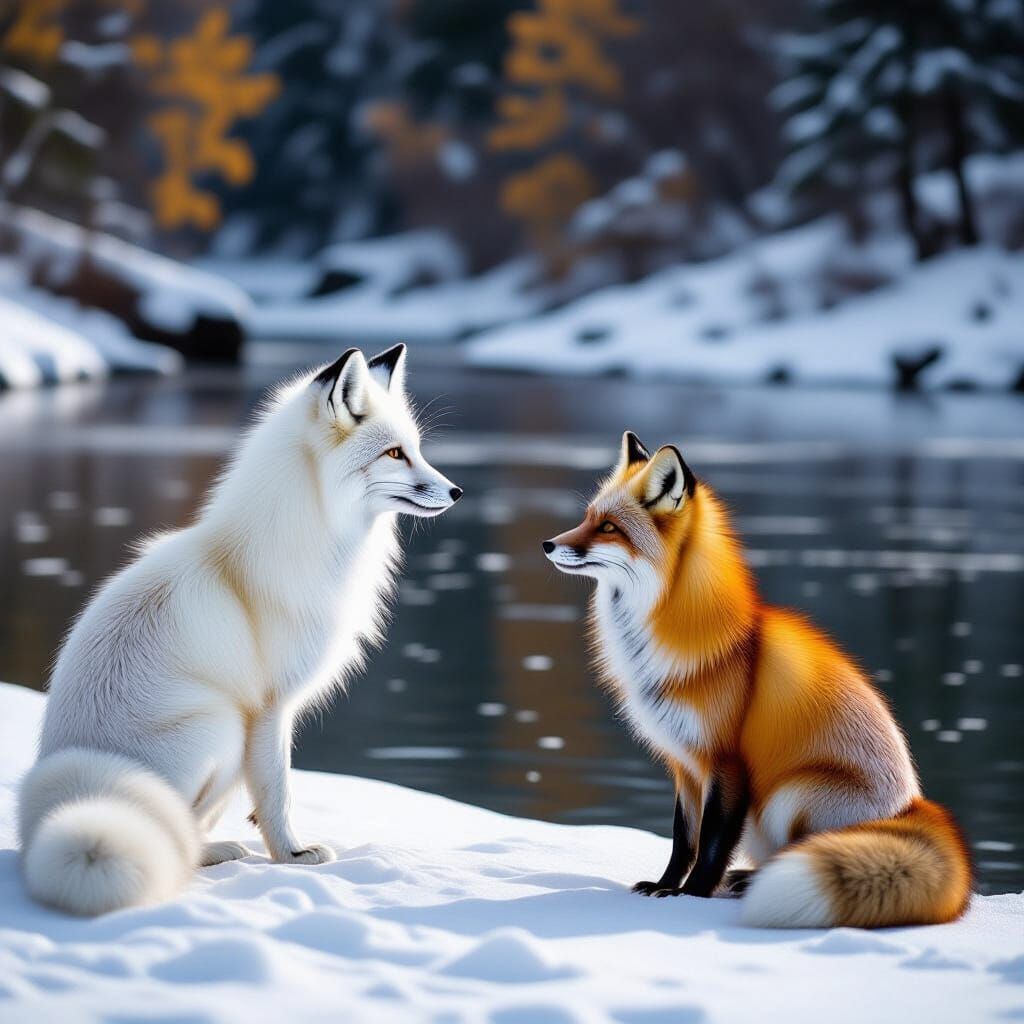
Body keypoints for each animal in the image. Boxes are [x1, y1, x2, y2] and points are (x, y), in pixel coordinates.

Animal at [18, 344, 463, 916]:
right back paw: (213, 853)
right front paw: (292, 857)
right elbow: (278, 790)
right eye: (394, 454)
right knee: (176, 834)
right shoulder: (270, 704)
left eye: (415, 450)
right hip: (221, 727)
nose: (455, 491)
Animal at [543, 431, 972, 928]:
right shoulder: (684, 763)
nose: (547, 544)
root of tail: (913, 806)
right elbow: (682, 839)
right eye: (588, 519)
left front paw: (690, 897)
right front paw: (664, 887)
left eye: (609, 527)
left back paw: (756, 881)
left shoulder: (726, 760)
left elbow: (712, 843)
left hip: (791, 794)